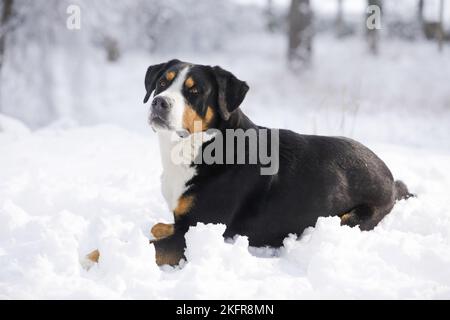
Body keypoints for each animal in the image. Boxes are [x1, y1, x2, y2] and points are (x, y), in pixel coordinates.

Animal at [143, 58, 412, 266]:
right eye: (162, 83)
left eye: (195, 91)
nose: (159, 102)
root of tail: (389, 177)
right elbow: (159, 227)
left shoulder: (197, 231)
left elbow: (155, 247)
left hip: (354, 217)